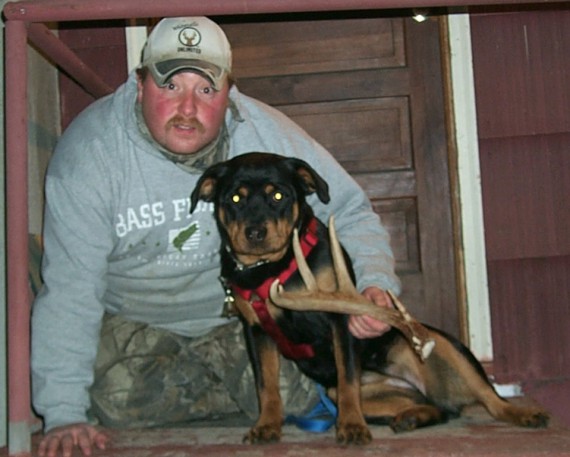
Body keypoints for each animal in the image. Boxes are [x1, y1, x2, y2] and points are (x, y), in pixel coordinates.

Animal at [190, 151, 544, 444]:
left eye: (278, 194)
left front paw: (351, 428)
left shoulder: (340, 322)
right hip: (356, 392)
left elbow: (348, 380)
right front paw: (266, 427)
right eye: (235, 197)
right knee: (437, 407)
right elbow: (267, 386)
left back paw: (526, 413)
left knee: (490, 398)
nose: (255, 233)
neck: (270, 269)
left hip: (447, 346)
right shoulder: (255, 330)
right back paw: (410, 417)